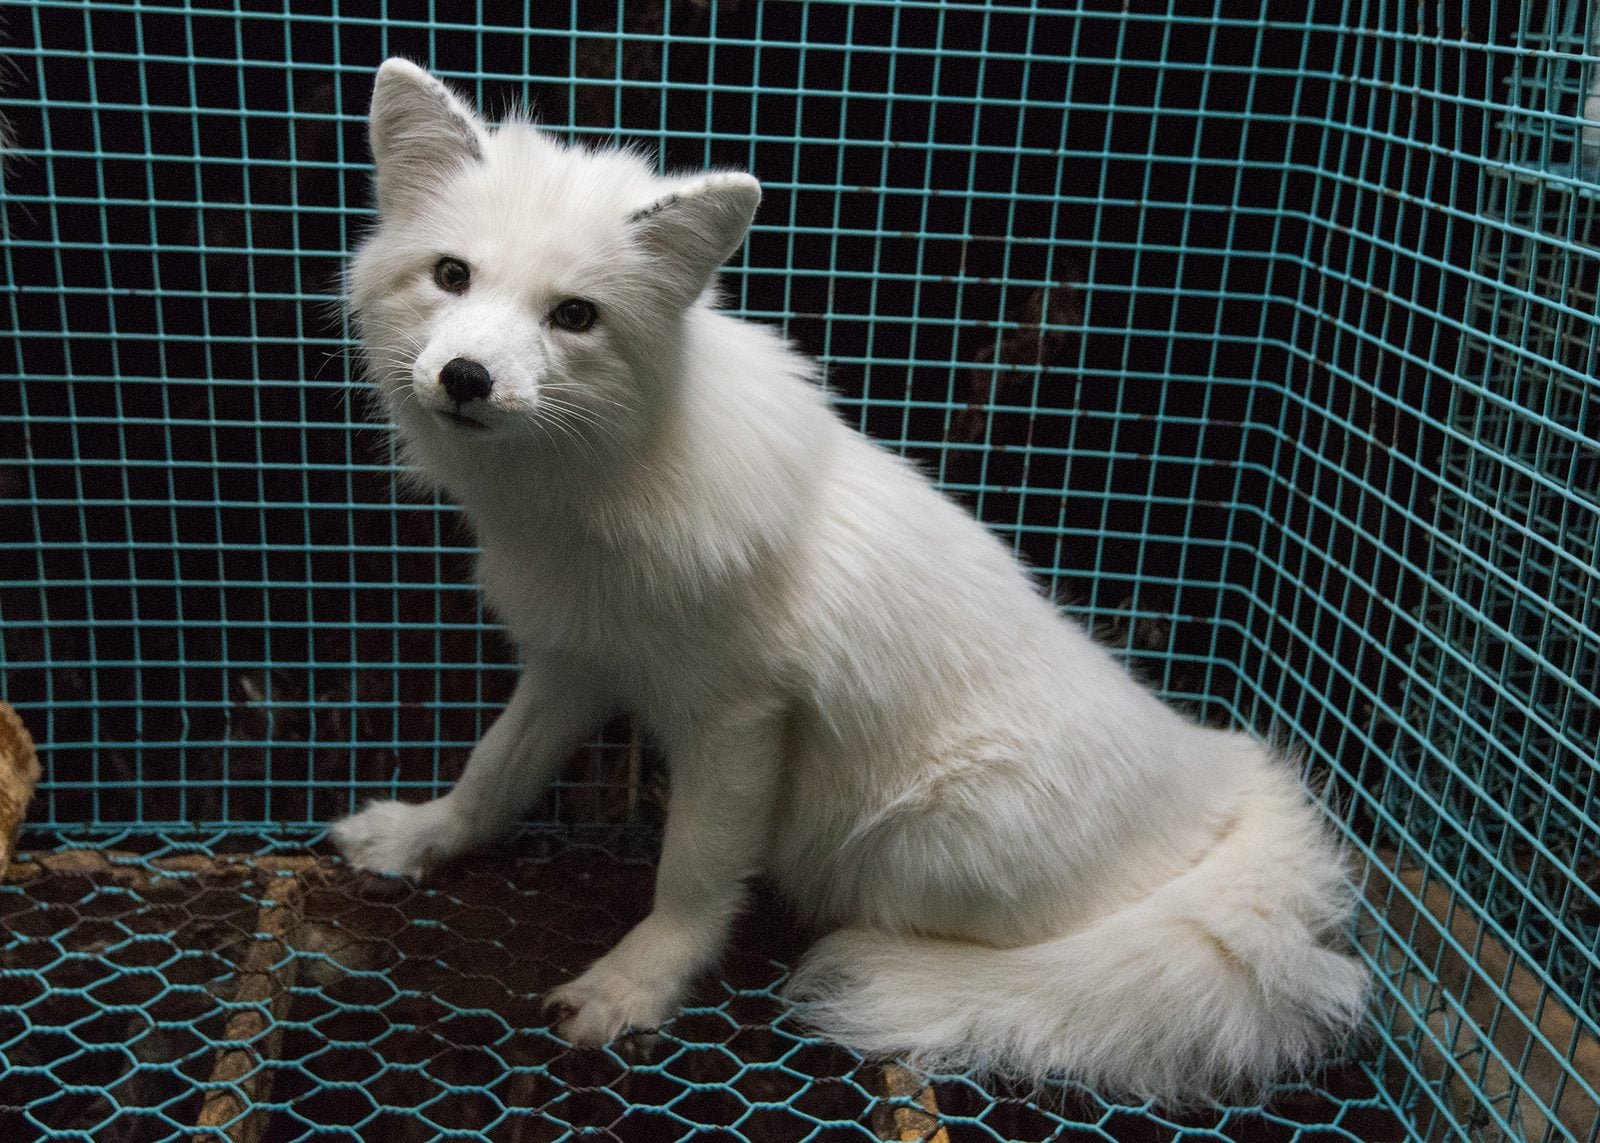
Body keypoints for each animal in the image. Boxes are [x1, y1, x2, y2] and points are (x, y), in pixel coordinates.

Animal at [332, 57, 1368, 1104]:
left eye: (574, 316)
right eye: (452, 275)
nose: (466, 376)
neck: (588, 493)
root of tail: (1223, 775)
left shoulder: (741, 716)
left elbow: (693, 872)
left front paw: (637, 981)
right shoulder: (574, 663)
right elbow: (493, 769)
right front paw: (422, 837)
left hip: (915, 847)